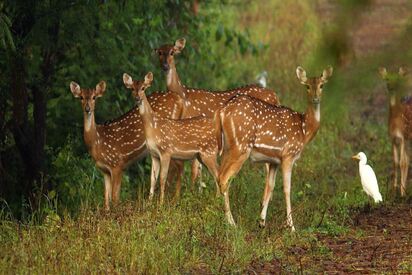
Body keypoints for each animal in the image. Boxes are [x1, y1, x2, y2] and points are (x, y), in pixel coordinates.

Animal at [70, 76, 185, 210]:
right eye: (81, 97)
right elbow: (106, 199)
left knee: (178, 165)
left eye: (94, 97)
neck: (97, 142)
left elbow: (115, 197)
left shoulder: (117, 164)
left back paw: (174, 200)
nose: (87, 109)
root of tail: (179, 99)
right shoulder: (104, 170)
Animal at [132, 72, 222, 204]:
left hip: (209, 152)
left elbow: (162, 178)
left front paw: (161, 204)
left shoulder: (166, 151)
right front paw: (149, 203)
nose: (137, 98)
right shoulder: (154, 154)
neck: (153, 127)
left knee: (218, 174)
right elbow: (152, 180)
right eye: (132, 89)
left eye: (143, 88)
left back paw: (217, 201)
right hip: (201, 156)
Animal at [217, 66, 334, 230]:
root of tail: (222, 112)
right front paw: (291, 227)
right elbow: (287, 189)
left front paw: (262, 221)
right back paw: (231, 222)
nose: (316, 98)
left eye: (322, 85)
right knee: (224, 178)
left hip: (228, 148)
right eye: (307, 86)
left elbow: (270, 187)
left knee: (218, 175)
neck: (304, 130)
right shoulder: (288, 155)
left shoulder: (274, 161)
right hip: (240, 147)